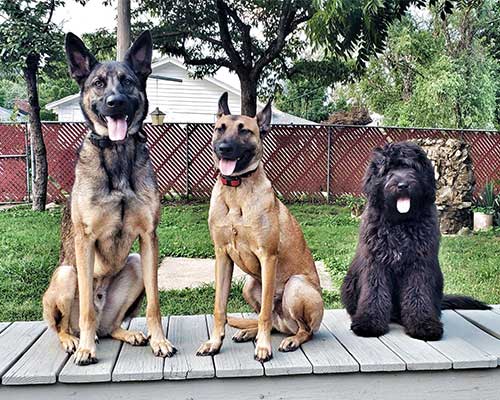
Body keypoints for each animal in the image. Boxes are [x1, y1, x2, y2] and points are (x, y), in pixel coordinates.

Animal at [42, 31, 177, 364]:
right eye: (98, 83)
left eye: (127, 81)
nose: (115, 103)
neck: (116, 154)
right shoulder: (85, 240)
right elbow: (87, 310)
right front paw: (86, 350)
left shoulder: (148, 238)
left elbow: (154, 303)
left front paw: (160, 341)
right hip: (66, 274)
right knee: (65, 324)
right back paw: (74, 340)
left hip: (136, 263)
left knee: (109, 326)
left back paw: (127, 334)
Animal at [195, 94, 324, 362]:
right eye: (220, 128)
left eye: (245, 131)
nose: (224, 148)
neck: (236, 190)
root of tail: (286, 324)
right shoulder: (222, 256)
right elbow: (219, 307)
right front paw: (214, 342)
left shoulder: (268, 257)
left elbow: (264, 312)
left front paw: (263, 347)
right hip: (249, 285)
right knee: (272, 323)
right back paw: (248, 332)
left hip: (296, 286)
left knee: (302, 329)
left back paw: (291, 339)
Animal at [340, 141, 488, 340]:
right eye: (389, 169)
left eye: (412, 167)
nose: (403, 185)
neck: (400, 223)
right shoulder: (376, 263)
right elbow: (375, 292)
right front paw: (369, 322)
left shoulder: (419, 264)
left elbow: (417, 293)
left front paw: (423, 324)